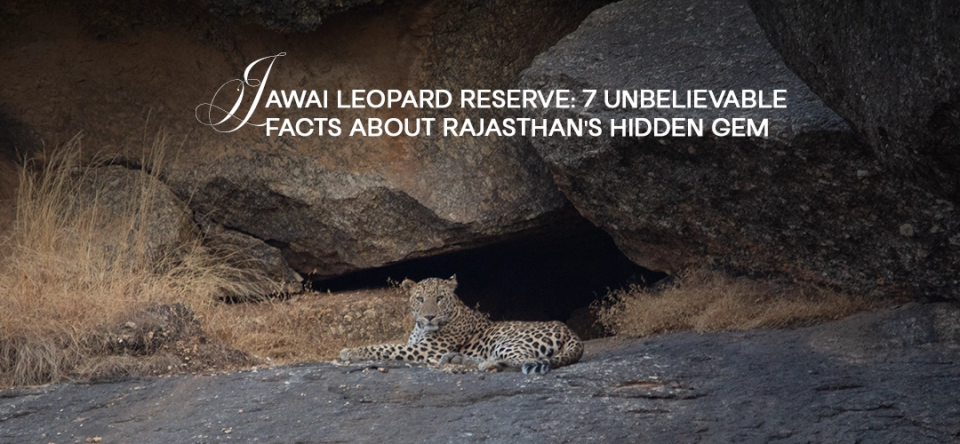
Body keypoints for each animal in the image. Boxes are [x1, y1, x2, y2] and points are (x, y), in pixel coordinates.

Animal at [338, 275, 584, 375]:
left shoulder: (425, 349)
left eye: (439, 298)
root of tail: (570, 332)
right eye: (420, 299)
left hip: (508, 340)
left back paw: (482, 364)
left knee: (525, 359)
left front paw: (350, 351)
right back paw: (456, 359)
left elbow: (385, 346)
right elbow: (389, 345)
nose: (429, 317)